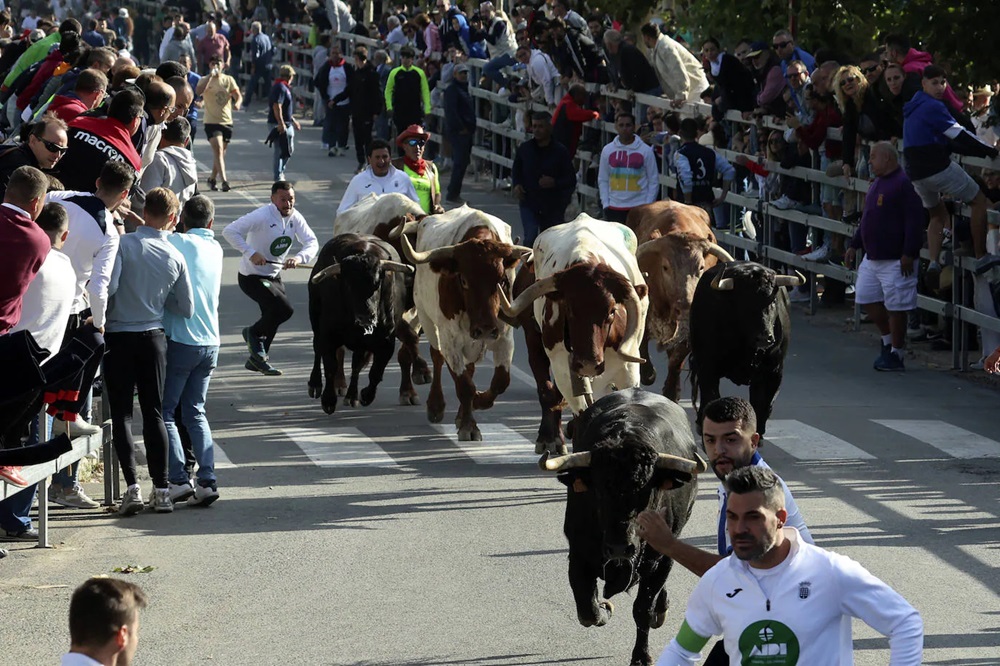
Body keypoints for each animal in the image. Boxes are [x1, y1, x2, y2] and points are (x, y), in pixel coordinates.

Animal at [306, 232, 412, 410]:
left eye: (377, 284)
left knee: (357, 364)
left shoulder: (386, 341)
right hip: (315, 318)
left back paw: (351, 396)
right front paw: (328, 400)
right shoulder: (328, 335)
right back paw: (315, 385)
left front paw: (366, 395)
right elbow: (330, 366)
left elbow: (375, 372)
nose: (366, 316)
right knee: (317, 348)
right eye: (348, 285)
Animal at [504, 215, 652, 454]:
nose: (589, 363)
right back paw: (550, 438)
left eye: (612, 310)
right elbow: (578, 407)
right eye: (569, 308)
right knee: (547, 391)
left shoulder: (627, 368)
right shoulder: (563, 366)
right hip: (535, 341)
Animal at [544, 386, 708, 664]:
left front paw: (641, 656)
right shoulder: (577, 554)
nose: (620, 548)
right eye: (598, 491)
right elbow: (587, 609)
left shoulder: (662, 557)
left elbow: (642, 609)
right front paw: (604, 607)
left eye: (647, 492)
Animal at [628, 200, 732, 400]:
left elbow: (676, 360)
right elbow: (643, 351)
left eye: (701, 267)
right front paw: (649, 374)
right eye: (665, 267)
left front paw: (670, 392)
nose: (685, 306)